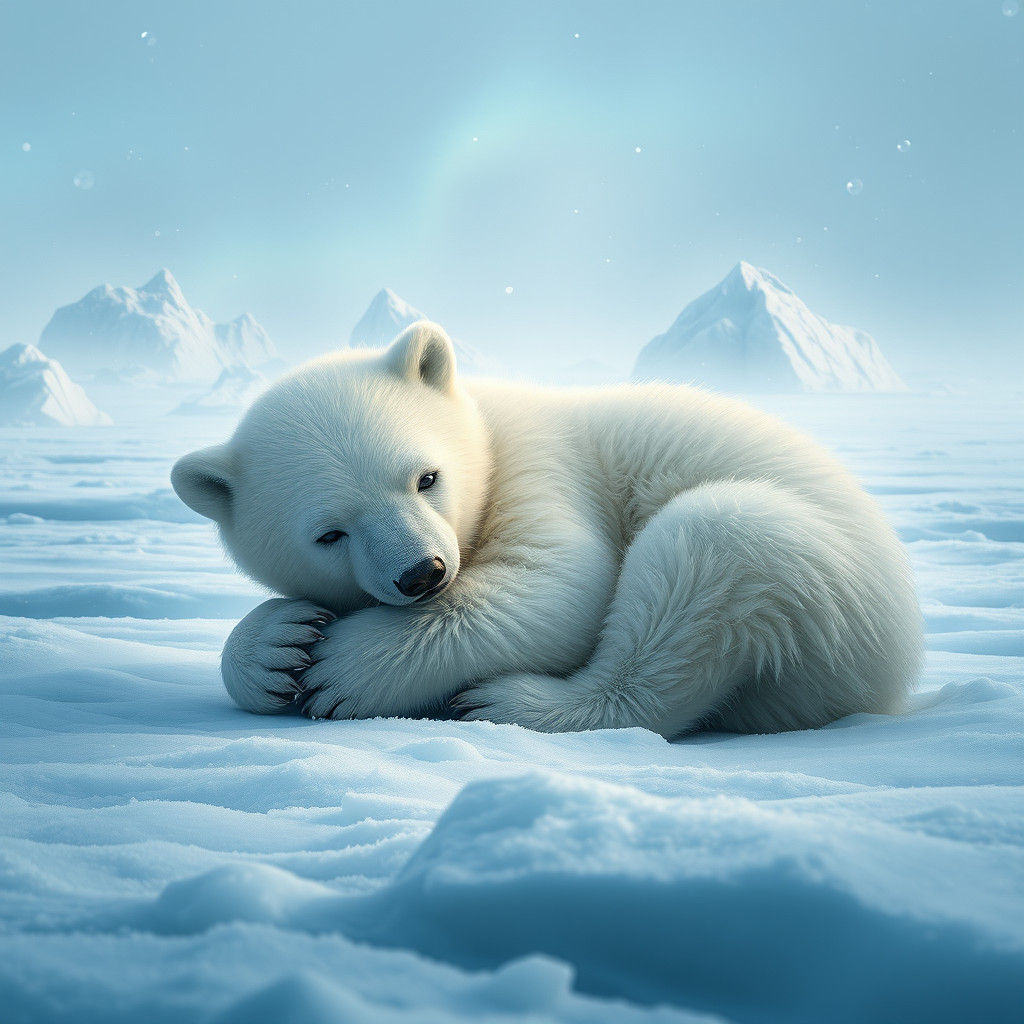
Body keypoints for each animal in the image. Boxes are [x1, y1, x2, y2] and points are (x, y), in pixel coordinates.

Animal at [171, 320, 922, 738]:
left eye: (426, 477)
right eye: (330, 533)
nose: (422, 574)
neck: (480, 428)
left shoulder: (540, 463)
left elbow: (557, 584)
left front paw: (341, 669)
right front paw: (274, 645)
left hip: (835, 593)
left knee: (712, 548)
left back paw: (514, 703)